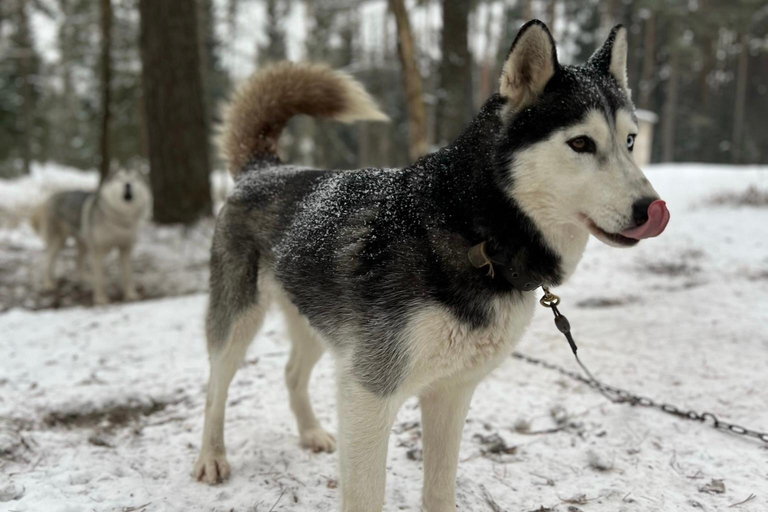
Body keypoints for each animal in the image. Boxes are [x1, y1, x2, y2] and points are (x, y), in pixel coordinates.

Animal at [32, 168, 151, 304]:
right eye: (119, 178)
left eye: (135, 178)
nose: (128, 184)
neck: (120, 219)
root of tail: (51, 198)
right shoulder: (98, 252)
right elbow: (100, 279)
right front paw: (101, 299)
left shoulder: (126, 249)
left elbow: (128, 276)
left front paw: (131, 295)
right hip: (60, 242)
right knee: (48, 261)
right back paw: (48, 284)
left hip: (83, 244)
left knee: (78, 262)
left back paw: (83, 279)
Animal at [195, 22, 668, 512]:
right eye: (580, 143)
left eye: (630, 141)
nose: (651, 209)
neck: (476, 232)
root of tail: (263, 169)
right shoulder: (368, 393)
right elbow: (366, 496)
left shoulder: (451, 393)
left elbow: (440, 488)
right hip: (239, 322)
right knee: (215, 388)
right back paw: (211, 458)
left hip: (314, 324)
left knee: (291, 374)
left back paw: (310, 433)